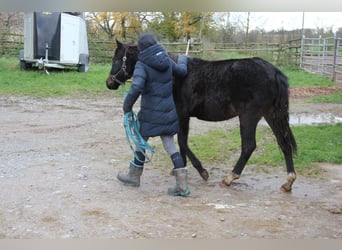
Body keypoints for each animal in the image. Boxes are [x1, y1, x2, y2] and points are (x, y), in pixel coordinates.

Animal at [106, 39, 296, 191]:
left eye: (117, 59)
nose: (109, 83)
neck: (175, 75)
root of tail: (273, 71)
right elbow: (181, 143)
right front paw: (179, 168)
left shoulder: (182, 115)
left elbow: (182, 142)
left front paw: (201, 171)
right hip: (271, 115)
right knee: (284, 144)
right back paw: (289, 181)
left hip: (249, 117)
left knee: (249, 146)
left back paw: (230, 178)